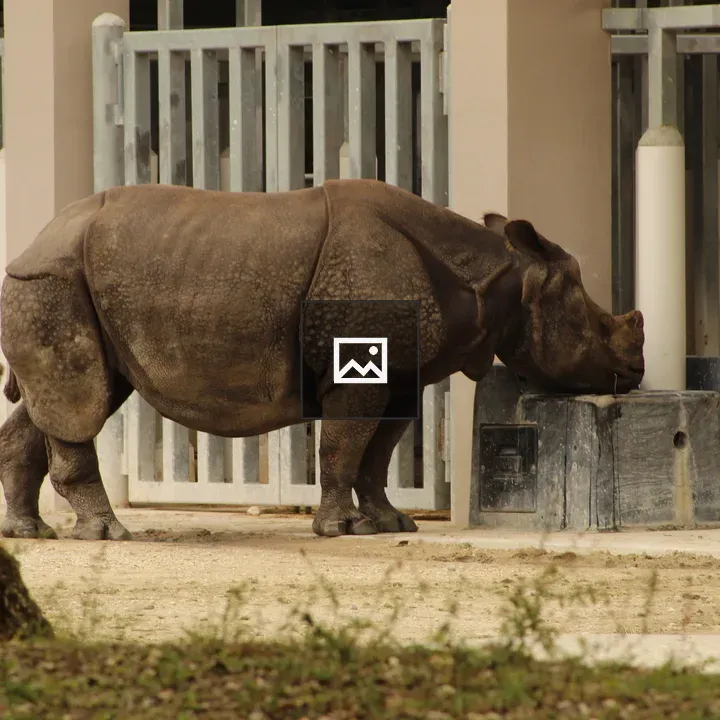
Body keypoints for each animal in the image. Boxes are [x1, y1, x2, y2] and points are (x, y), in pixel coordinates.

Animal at [0, 179, 644, 541]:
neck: (495, 276)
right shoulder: (356, 368)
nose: (636, 374)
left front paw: (389, 525)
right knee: (80, 402)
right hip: (54, 281)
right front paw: (337, 530)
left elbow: (376, 452)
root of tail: (33, 240)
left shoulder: (402, 372)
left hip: (69, 281)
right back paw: (107, 534)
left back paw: (30, 533)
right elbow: (344, 444)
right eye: (597, 327)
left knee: (69, 398)